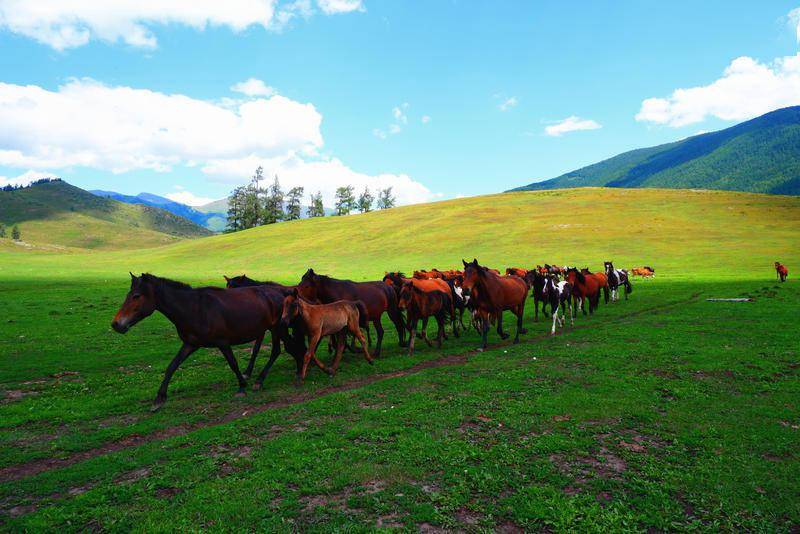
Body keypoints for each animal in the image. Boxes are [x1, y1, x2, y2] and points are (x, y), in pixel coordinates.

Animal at [109, 274, 304, 412]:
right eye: (129, 294)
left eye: (136, 296)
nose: (116, 324)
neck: (194, 308)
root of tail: (281, 292)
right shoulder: (190, 344)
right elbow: (172, 366)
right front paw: (159, 398)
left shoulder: (222, 342)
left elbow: (233, 364)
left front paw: (242, 387)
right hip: (274, 329)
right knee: (282, 350)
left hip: (278, 329)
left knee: (287, 349)